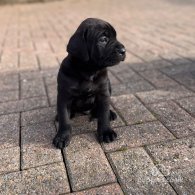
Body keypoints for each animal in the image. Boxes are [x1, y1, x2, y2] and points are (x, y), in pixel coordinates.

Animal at [52, 18, 125, 149]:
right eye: (103, 39)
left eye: (115, 37)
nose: (123, 50)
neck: (88, 71)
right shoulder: (64, 97)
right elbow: (64, 118)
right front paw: (62, 136)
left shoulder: (103, 93)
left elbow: (103, 114)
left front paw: (106, 132)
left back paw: (110, 114)